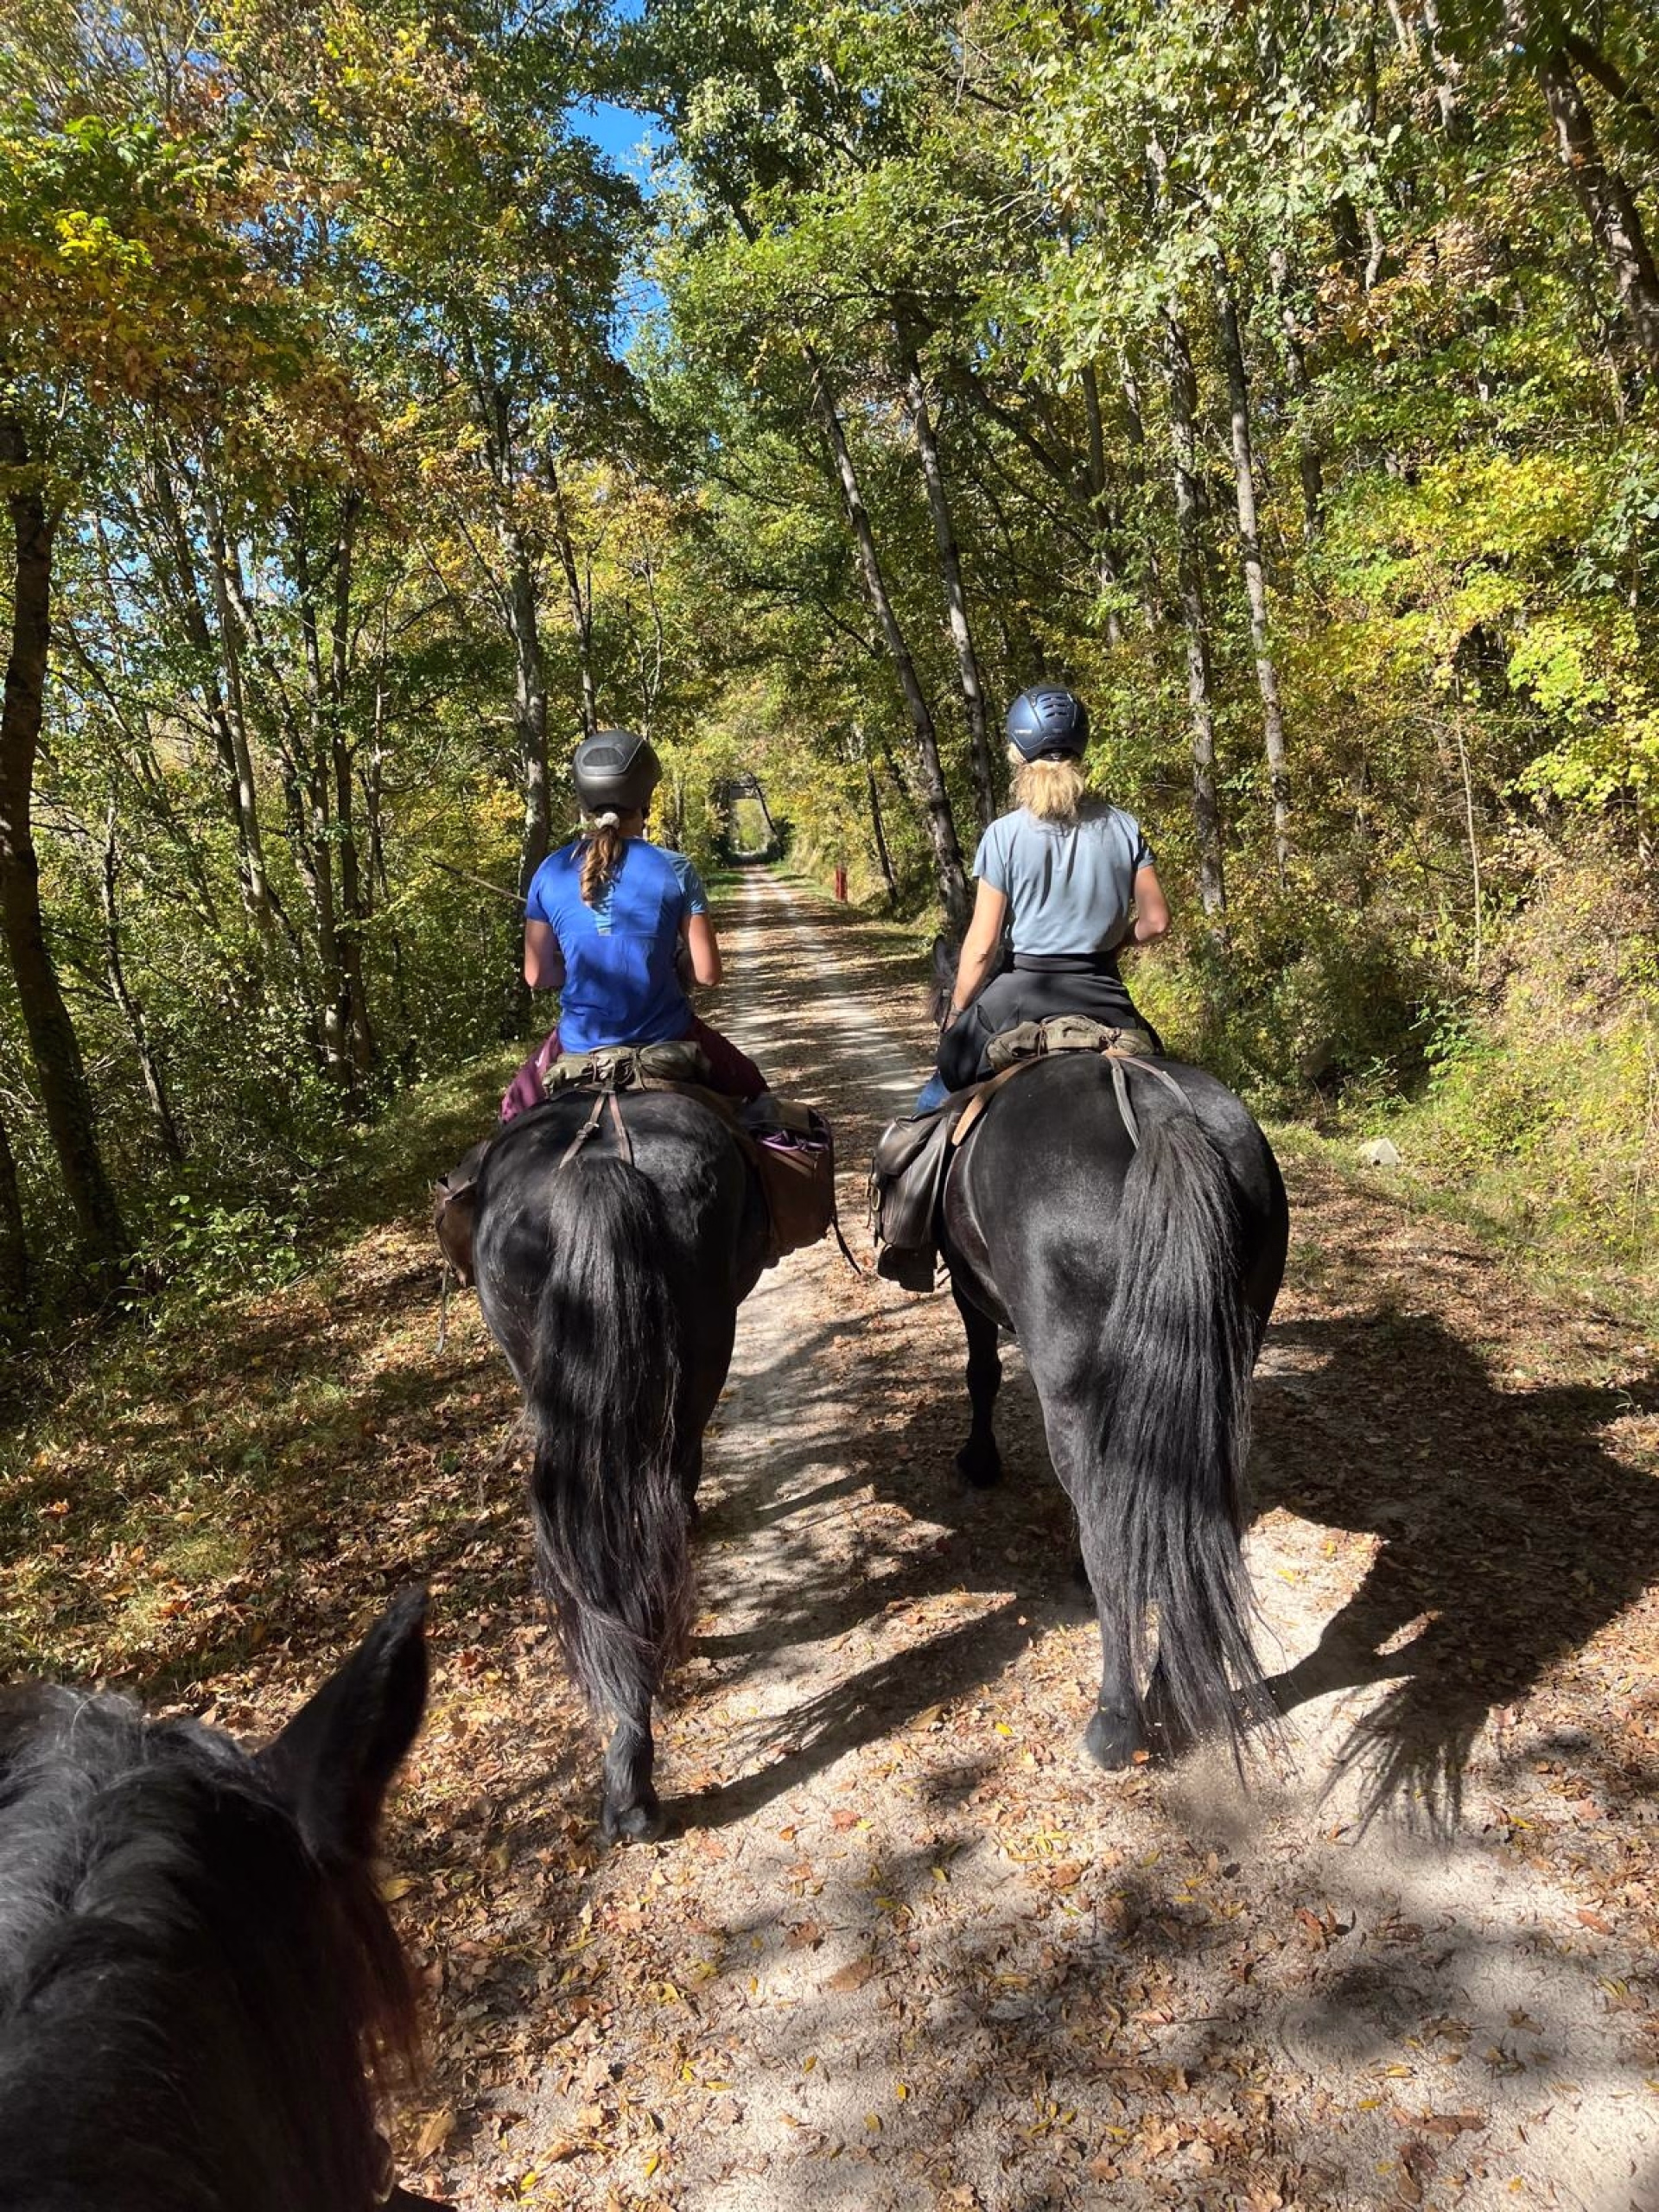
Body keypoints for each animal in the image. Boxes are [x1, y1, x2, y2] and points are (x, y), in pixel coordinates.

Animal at [924, 943, 1290, 1770]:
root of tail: (1159, 1115)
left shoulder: (967, 1290)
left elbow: (981, 1372)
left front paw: (978, 1460)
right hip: (1225, 1372)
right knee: (1195, 1519)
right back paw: (1178, 1687)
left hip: (1074, 1392)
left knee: (1107, 1529)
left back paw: (1117, 1719)